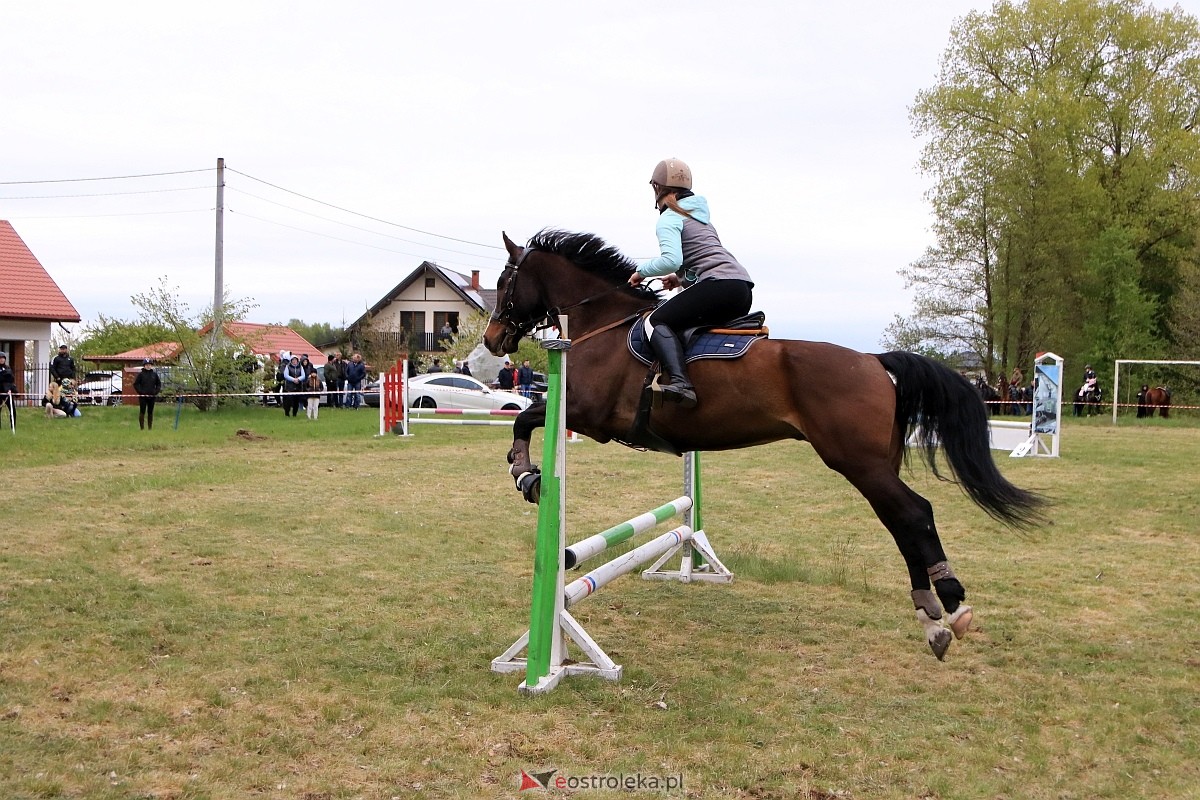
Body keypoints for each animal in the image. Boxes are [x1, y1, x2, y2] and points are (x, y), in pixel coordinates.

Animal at [482, 227, 1046, 662]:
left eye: (506, 281)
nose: (491, 339)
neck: (603, 324)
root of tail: (873, 360)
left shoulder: (590, 415)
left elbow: (525, 419)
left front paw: (526, 474)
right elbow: (526, 418)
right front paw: (526, 473)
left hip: (857, 462)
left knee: (913, 514)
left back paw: (951, 605)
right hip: (875, 463)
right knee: (902, 519)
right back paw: (931, 618)